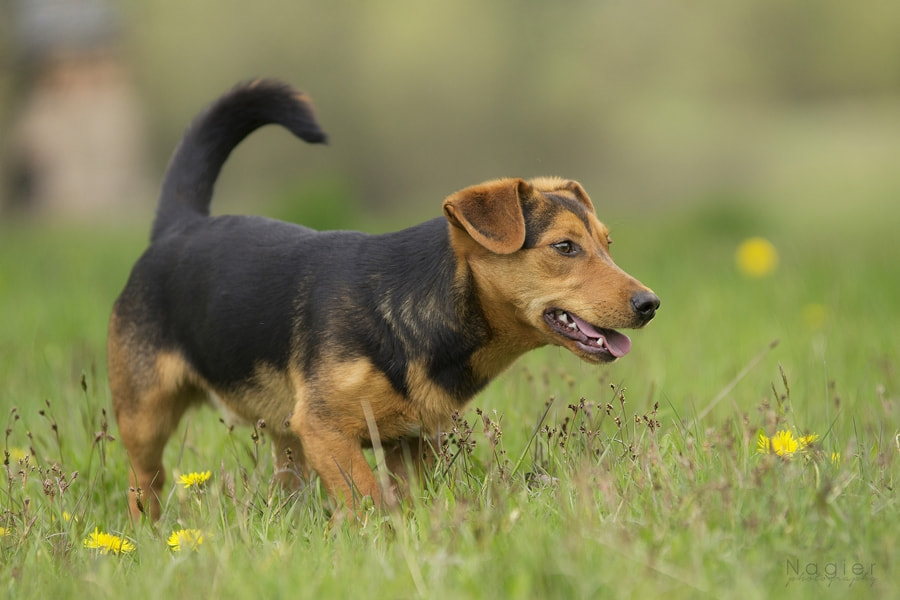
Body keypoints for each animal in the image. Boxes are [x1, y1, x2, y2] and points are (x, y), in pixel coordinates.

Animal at [107, 79, 660, 520]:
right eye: (564, 247)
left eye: (607, 245)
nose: (650, 304)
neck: (420, 309)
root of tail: (180, 225)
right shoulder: (326, 430)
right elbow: (368, 500)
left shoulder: (412, 443)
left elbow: (401, 499)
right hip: (145, 417)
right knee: (143, 487)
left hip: (285, 435)